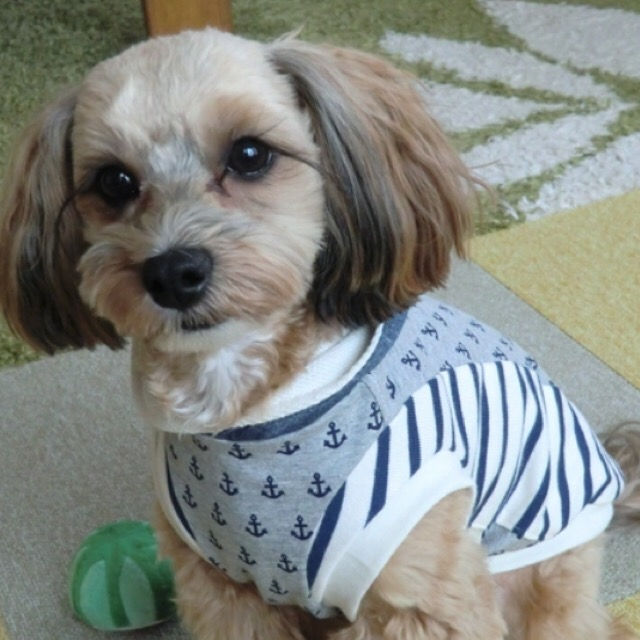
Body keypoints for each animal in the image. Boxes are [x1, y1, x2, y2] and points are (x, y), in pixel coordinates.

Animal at [1, 28, 638, 640]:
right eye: (113, 181)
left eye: (250, 154)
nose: (173, 272)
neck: (249, 400)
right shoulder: (222, 589)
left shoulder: (421, 597)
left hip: (532, 582)